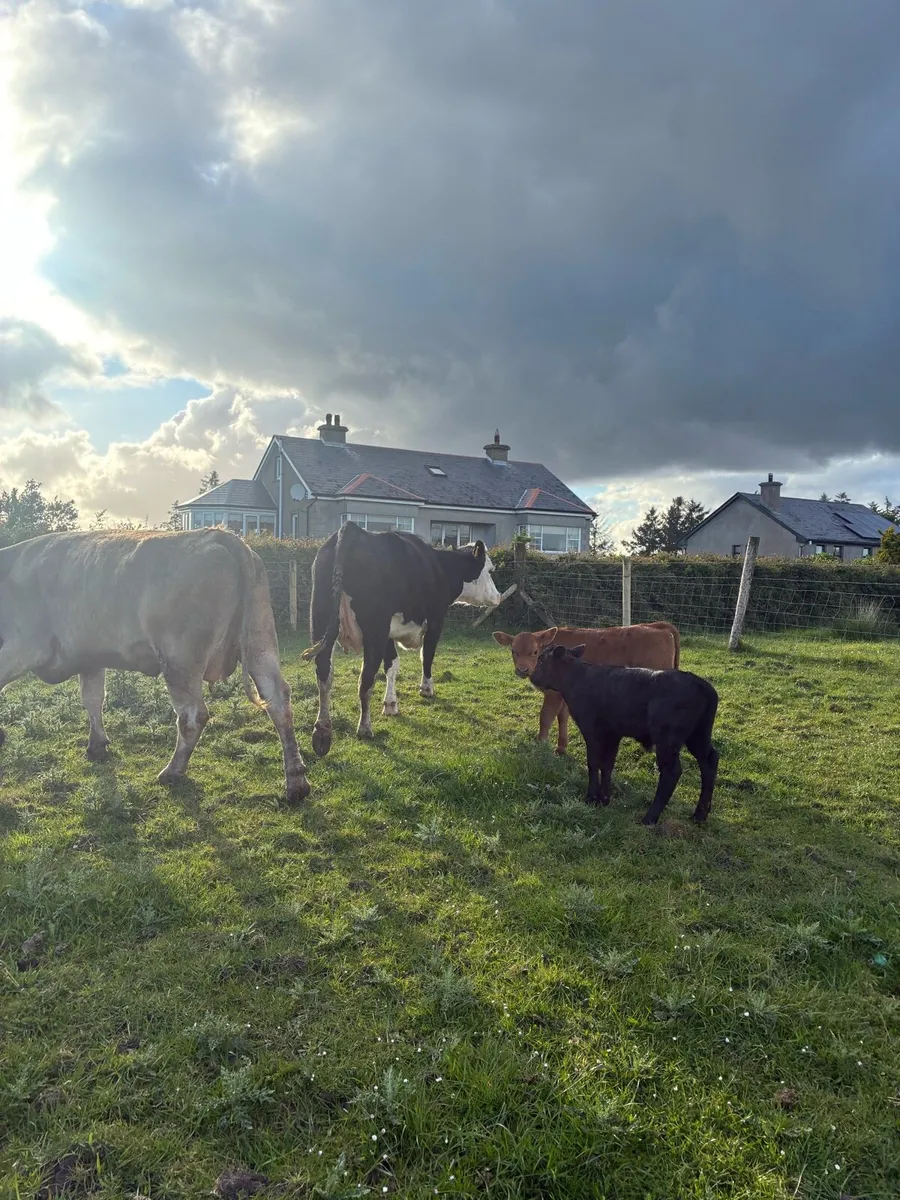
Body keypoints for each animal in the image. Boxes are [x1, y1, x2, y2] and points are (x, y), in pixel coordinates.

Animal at [0, 529, 310, 804]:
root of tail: (219, 535)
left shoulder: (24, 646)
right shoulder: (90, 658)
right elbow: (92, 700)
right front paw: (97, 745)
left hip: (180, 660)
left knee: (193, 716)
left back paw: (172, 772)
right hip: (260, 642)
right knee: (278, 701)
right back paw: (297, 783)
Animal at [301, 520, 501, 756]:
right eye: (490, 569)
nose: (498, 596)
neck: (441, 567)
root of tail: (352, 530)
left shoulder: (389, 633)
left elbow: (392, 665)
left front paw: (390, 704)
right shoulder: (435, 621)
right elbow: (427, 656)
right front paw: (426, 689)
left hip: (321, 621)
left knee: (324, 673)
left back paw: (322, 731)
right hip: (374, 632)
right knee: (366, 679)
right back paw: (365, 728)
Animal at [493, 621, 680, 755]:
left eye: (534, 652)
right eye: (513, 651)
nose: (522, 670)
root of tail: (656, 626)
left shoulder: (553, 694)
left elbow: (545, 717)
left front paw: (540, 745)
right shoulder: (564, 695)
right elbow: (562, 717)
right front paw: (561, 747)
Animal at [530, 643, 719, 825]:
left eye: (541, 661)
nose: (532, 677)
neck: (577, 679)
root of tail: (702, 684)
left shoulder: (592, 731)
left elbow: (594, 763)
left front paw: (591, 798)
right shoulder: (613, 734)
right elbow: (607, 764)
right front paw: (604, 799)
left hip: (667, 739)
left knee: (672, 771)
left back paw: (650, 818)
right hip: (699, 735)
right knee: (709, 761)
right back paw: (700, 815)